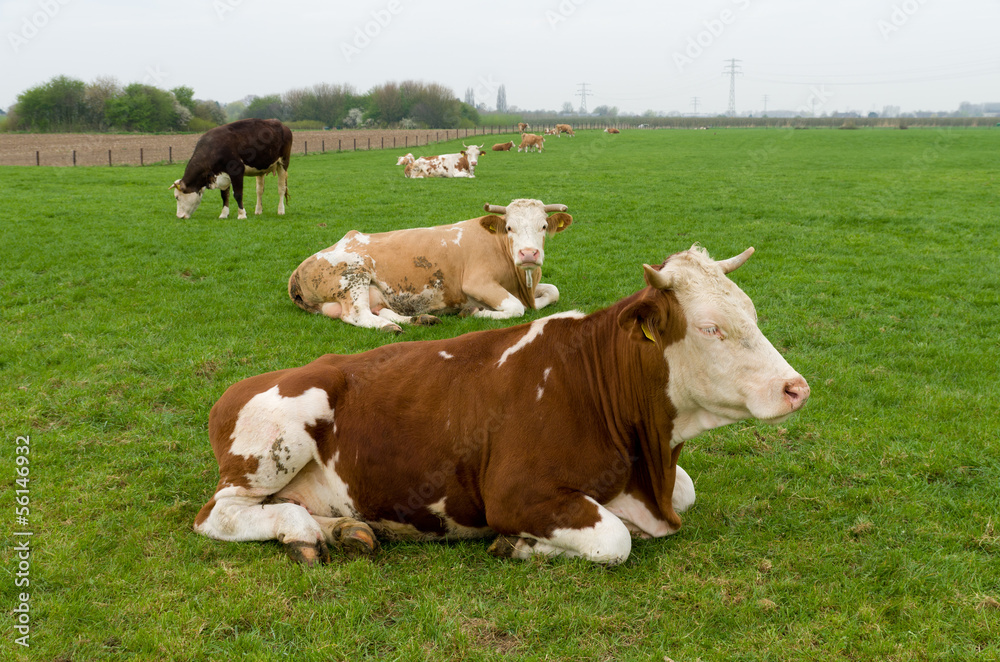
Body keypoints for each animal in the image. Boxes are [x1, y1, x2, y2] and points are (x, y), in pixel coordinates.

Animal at [288, 197, 572, 332]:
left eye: (543, 226)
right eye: (510, 227)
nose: (529, 254)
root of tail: (298, 270)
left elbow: (554, 292)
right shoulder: (477, 283)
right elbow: (516, 308)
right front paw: (474, 312)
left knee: (381, 310)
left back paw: (420, 319)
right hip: (353, 275)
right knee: (358, 314)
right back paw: (391, 327)